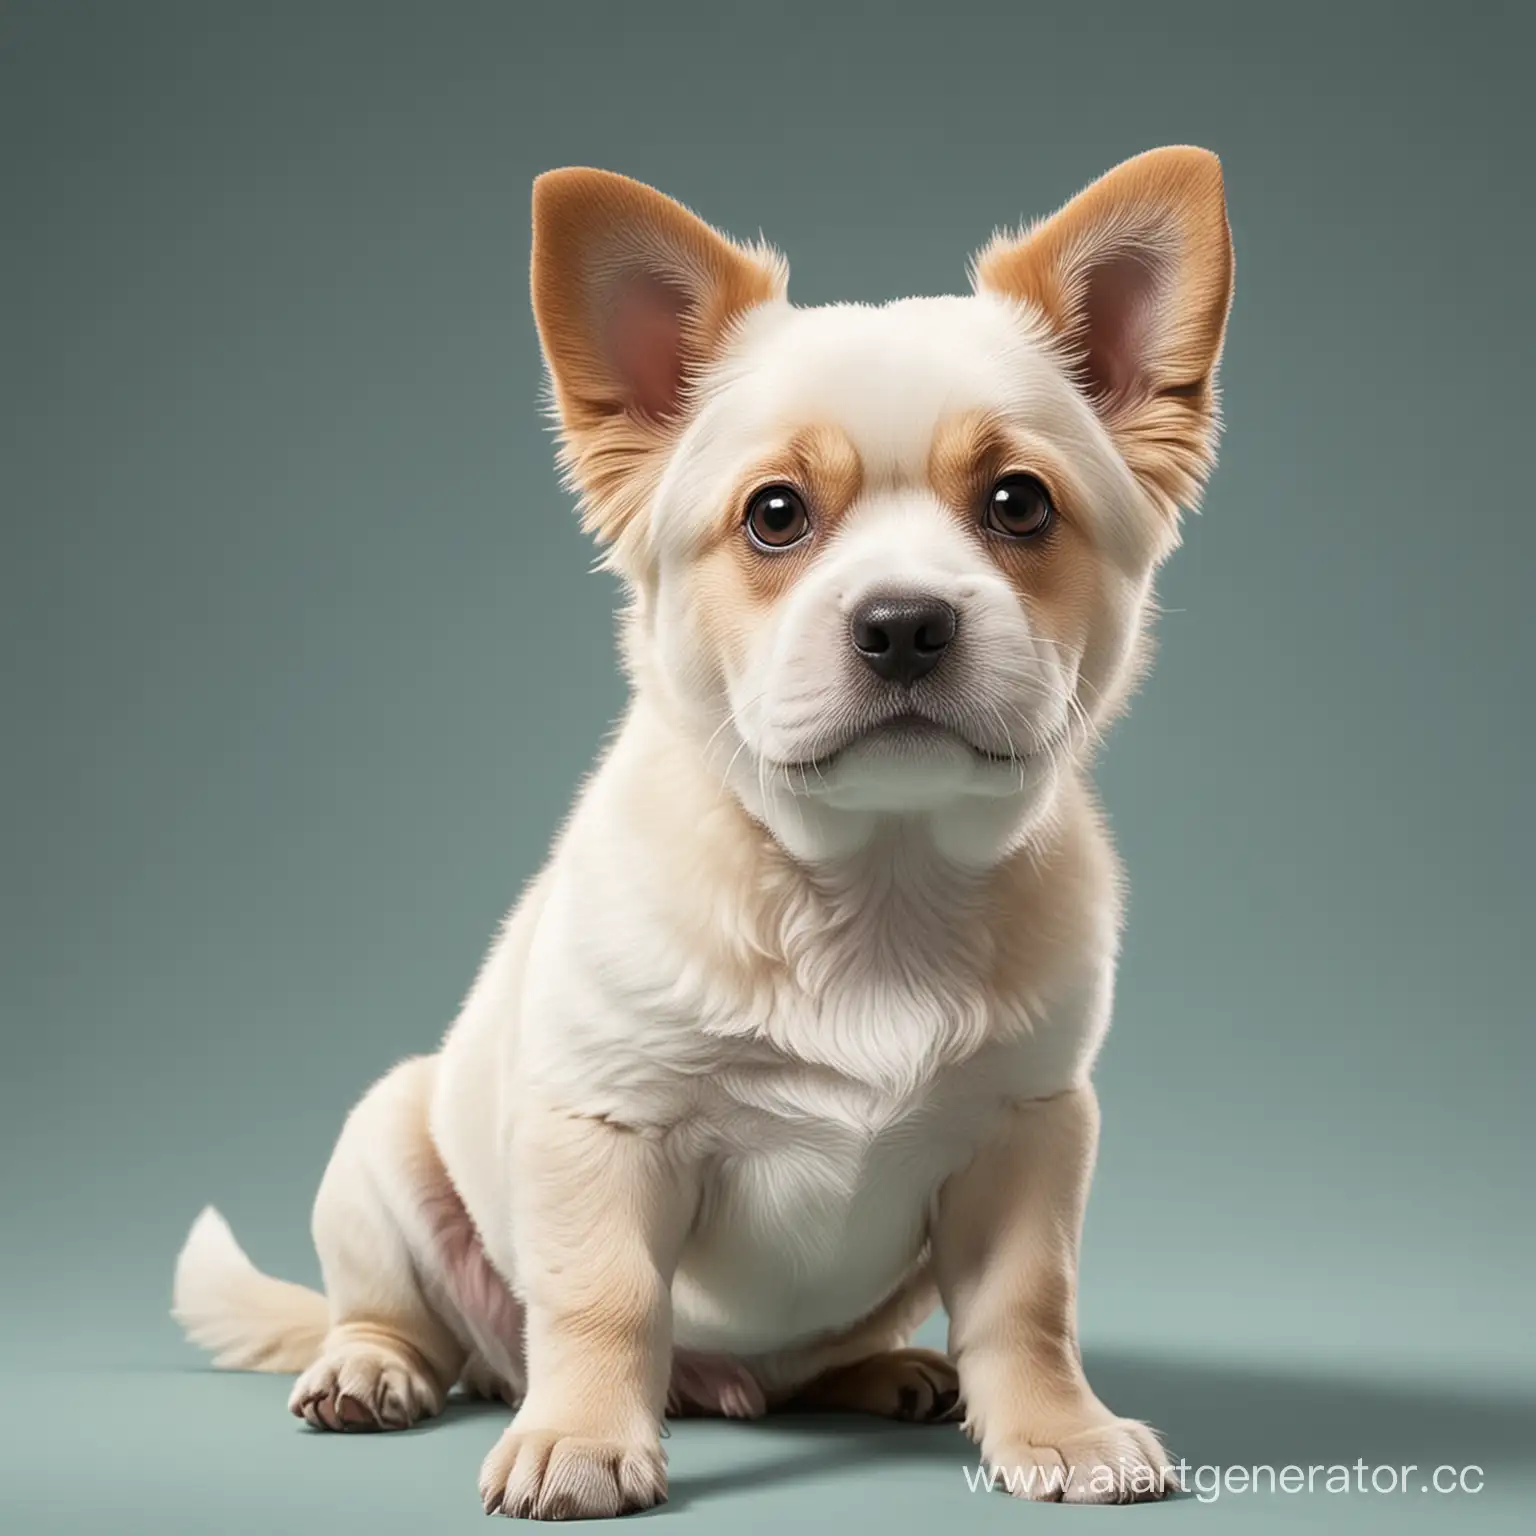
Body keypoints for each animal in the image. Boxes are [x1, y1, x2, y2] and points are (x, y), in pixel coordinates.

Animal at [174, 149, 1234, 1517]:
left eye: (1018, 504)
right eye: (775, 515)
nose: (903, 623)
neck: (877, 881)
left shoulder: (1029, 1135)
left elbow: (1025, 1306)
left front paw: (1055, 1432)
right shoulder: (607, 1129)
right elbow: (605, 1300)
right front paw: (580, 1439)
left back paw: (884, 1373)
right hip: (384, 1148)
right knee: (406, 1318)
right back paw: (374, 1370)